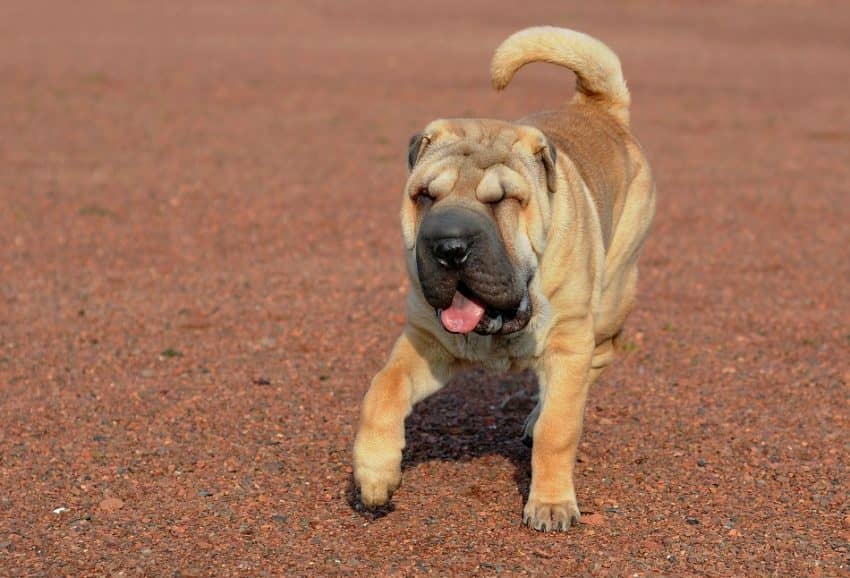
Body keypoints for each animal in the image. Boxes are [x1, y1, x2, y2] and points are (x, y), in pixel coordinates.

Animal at [352, 27, 656, 532]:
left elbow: (559, 428)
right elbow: (383, 388)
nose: (449, 246)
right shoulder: (424, 342)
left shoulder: (568, 341)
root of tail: (597, 107)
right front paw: (375, 472)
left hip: (611, 298)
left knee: (594, 362)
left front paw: (551, 503)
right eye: (424, 196)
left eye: (504, 201)